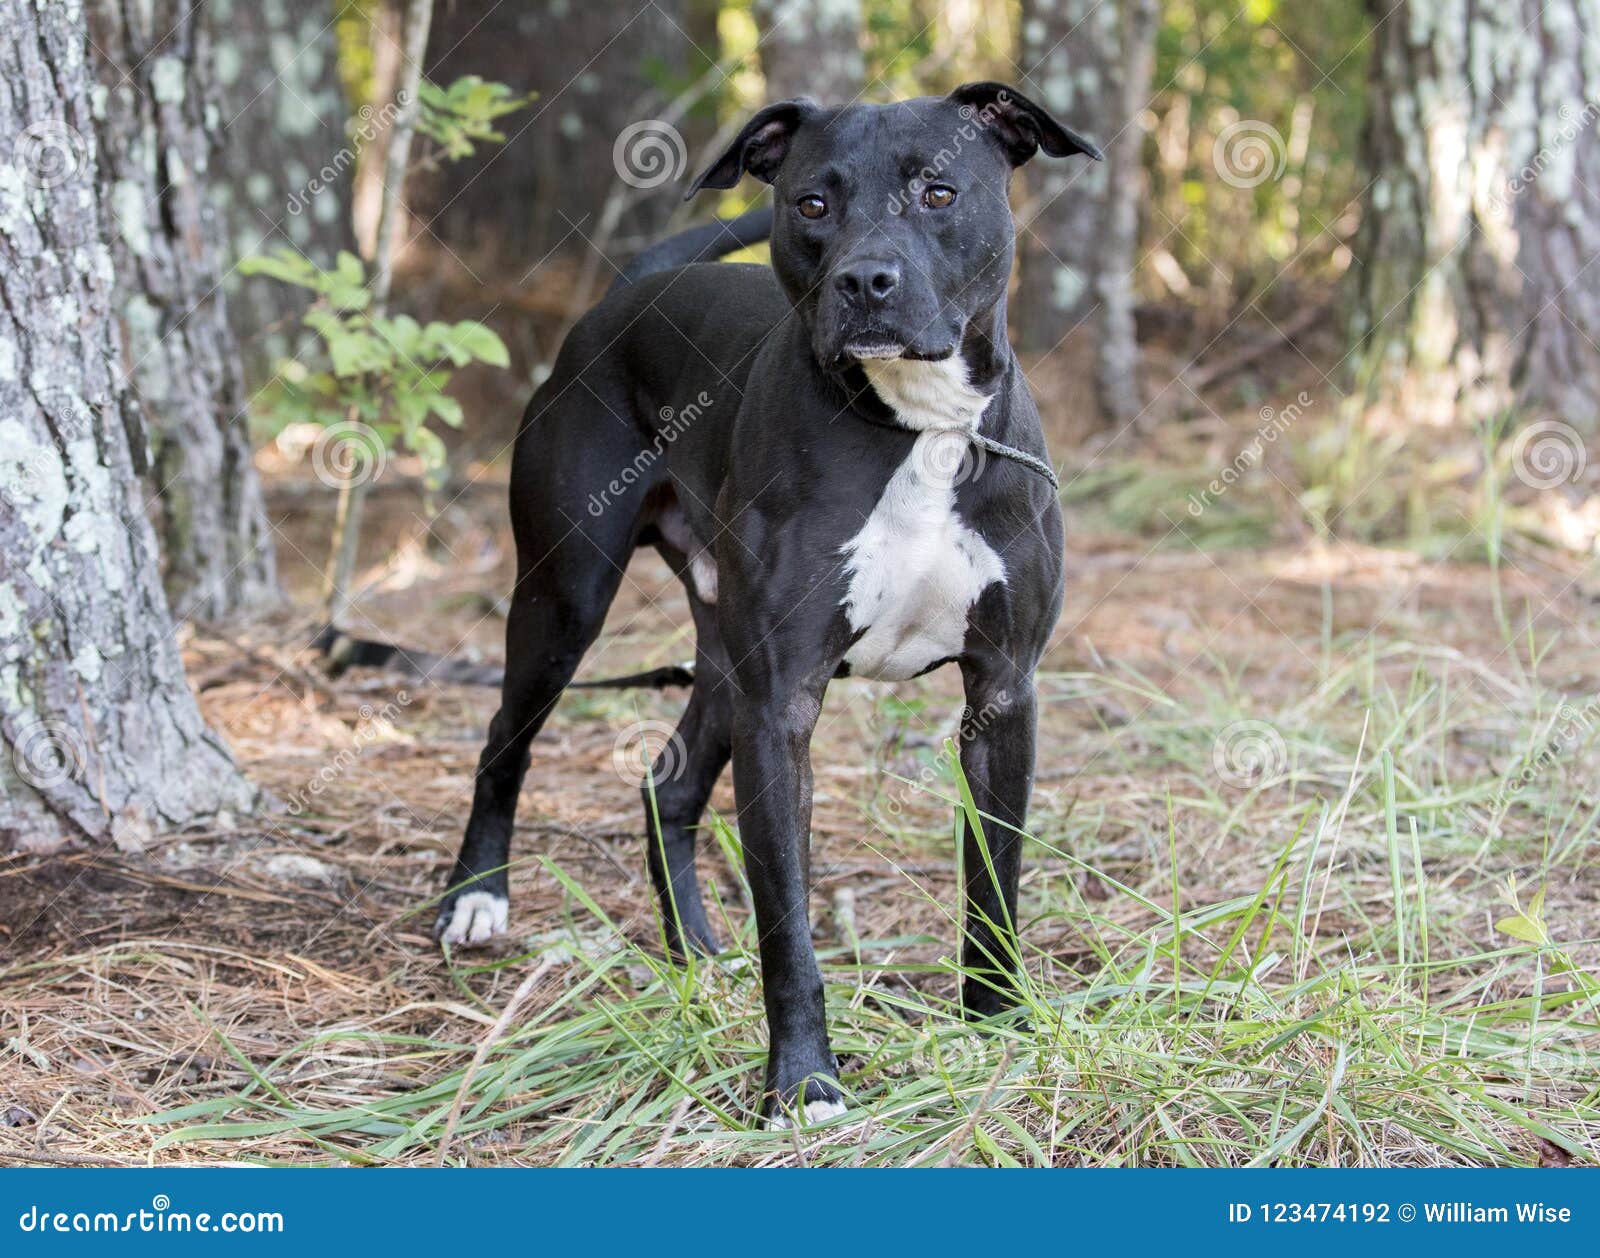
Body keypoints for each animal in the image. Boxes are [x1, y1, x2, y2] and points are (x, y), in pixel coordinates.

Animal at [432, 80, 1094, 1120]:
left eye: (939, 193)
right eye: (813, 203)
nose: (867, 281)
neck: (915, 427)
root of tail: (629, 294)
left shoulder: (1003, 693)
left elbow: (995, 882)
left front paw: (999, 1030)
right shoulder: (781, 704)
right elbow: (788, 919)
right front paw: (805, 1081)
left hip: (719, 660)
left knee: (667, 787)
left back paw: (695, 953)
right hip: (564, 599)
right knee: (506, 739)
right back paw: (476, 898)